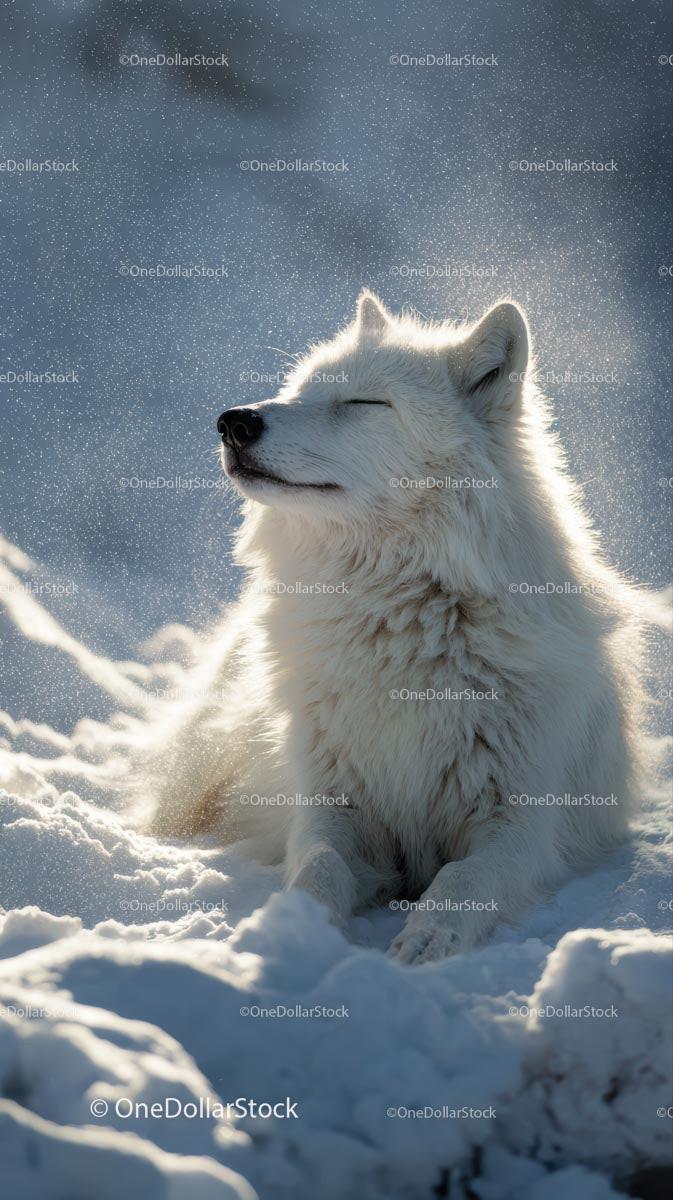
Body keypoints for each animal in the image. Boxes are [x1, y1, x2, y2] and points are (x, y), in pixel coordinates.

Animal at [143, 290, 666, 963]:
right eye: (300, 392)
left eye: (364, 403)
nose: (233, 421)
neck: (396, 620)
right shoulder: (331, 807)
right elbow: (317, 866)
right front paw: (287, 934)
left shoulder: (520, 826)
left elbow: (462, 878)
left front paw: (425, 941)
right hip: (198, 777)